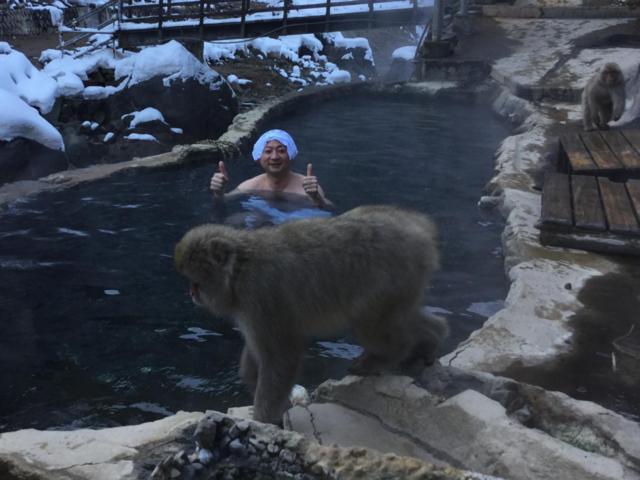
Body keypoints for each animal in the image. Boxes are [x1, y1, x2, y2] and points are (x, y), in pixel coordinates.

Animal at [172, 205, 448, 424]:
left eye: (196, 282)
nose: (191, 292)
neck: (240, 269)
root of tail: (419, 228)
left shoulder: (261, 296)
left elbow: (281, 356)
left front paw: (264, 419)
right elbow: (257, 354)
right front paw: (252, 379)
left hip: (390, 279)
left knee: (370, 326)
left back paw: (387, 356)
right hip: (405, 283)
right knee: (402, 316)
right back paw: (431, 339)